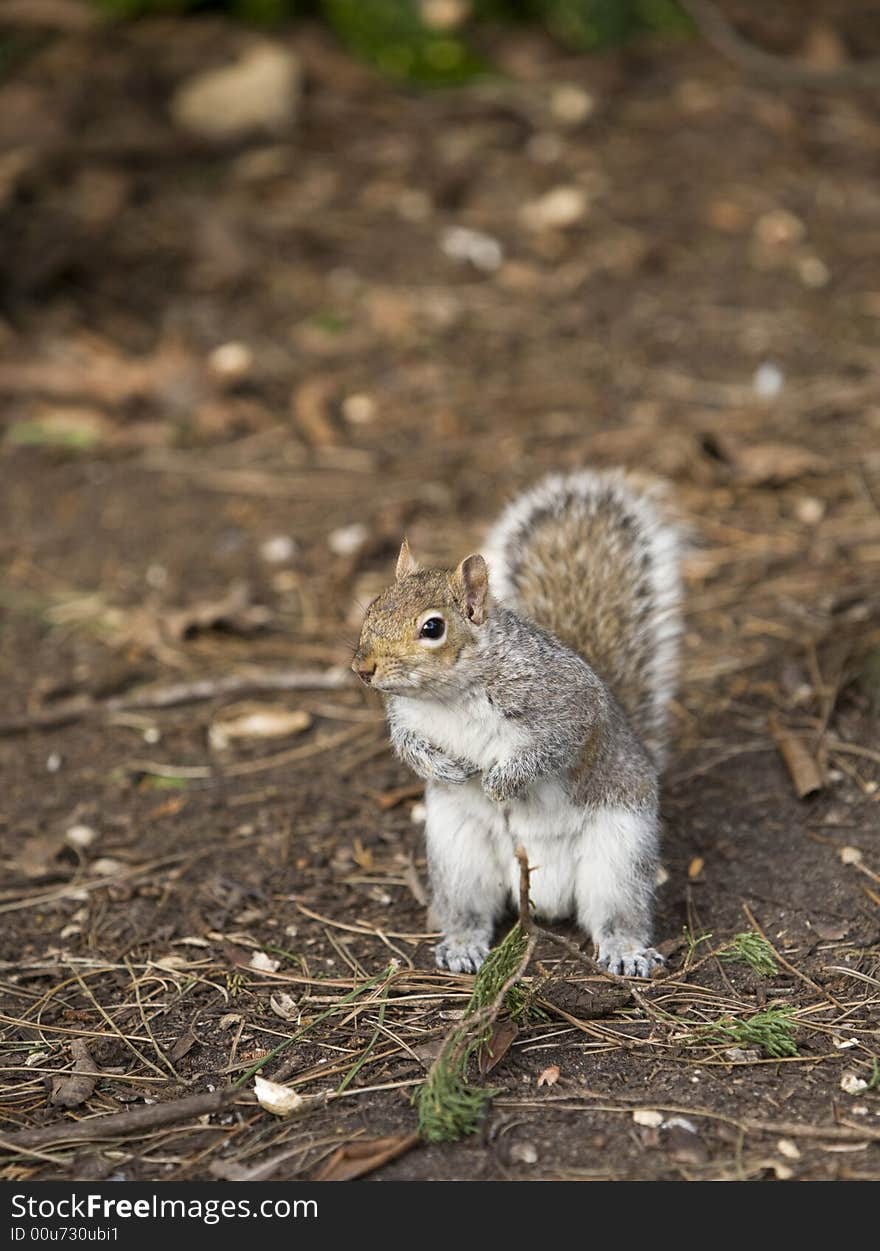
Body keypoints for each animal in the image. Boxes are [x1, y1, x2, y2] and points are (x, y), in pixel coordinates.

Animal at [350, 467, 680, 975]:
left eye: (432, 627)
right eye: (373, 607)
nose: (363, 669)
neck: (449, 696)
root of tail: (549, 896)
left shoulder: (565, 699)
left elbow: (554, 743)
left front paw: (503, 781)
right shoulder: (406, 719)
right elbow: (410, 748)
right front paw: (447, 769)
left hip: (618, 854)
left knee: (616, 912)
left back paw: (625, 951)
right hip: (459, 855)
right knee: (469, 909)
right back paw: (461, 945)